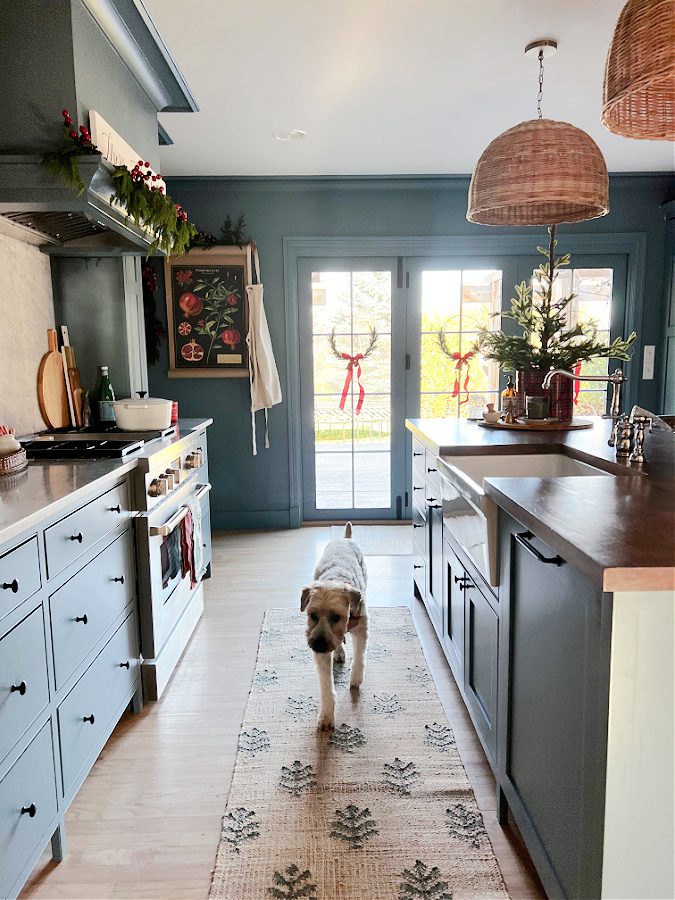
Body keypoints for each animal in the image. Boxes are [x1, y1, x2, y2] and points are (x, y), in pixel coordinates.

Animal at [302, 524, 370, 728]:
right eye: (312, 615)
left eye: (336, 617)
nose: (318, 644)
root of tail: (345, 538)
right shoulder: (321, 650)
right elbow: (326, 686)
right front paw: (326, 716)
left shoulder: (362, 627)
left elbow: (359, 657)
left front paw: (356, 679)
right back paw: (338, 651)